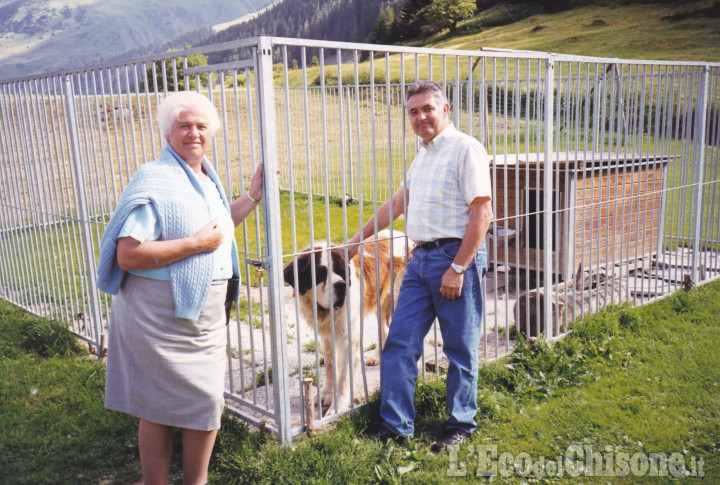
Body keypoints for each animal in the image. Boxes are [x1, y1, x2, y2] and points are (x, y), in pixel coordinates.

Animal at [286, 229, 410, 410]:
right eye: (320, 273)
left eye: (341, 271)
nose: (342, 285)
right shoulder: (327, 337)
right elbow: (330, 365)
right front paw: (326, 394)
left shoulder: (348, 338)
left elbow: (345, 375)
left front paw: (338, 406)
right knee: (384, 329)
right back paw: (377, 357)